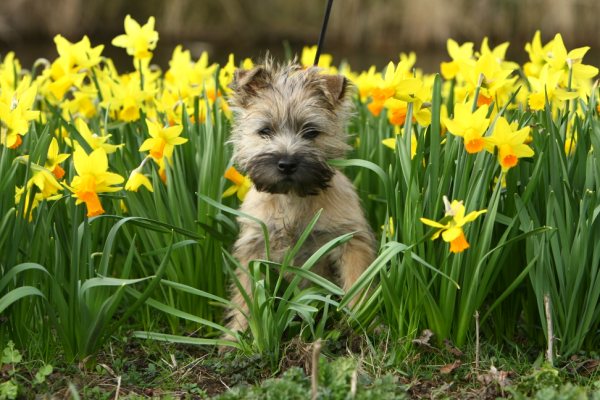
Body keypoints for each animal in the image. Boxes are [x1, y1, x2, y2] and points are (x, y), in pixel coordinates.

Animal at [225, 58, 376, 338]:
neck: (292, 199)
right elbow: (246, 296)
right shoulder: (253, 247)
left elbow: (357, 280)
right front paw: (237, 335)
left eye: (311, 132)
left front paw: (361, 322)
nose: (286, 163)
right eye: (265, 130)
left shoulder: (350, 239)